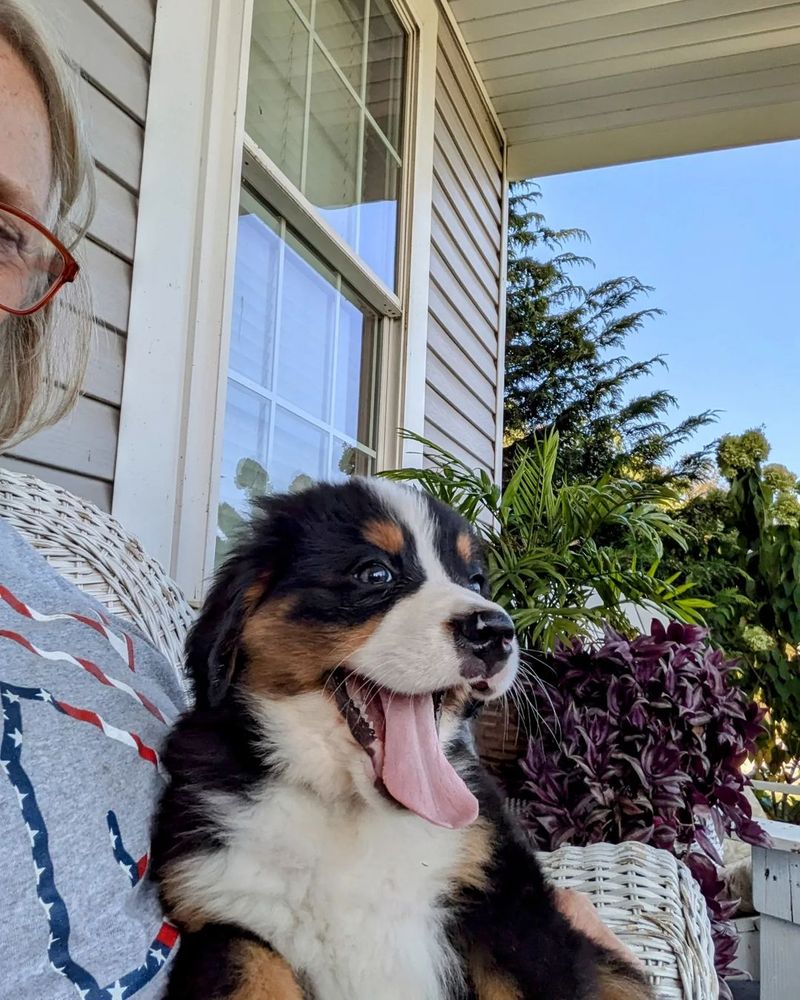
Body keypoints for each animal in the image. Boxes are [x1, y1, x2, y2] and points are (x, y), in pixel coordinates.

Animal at [152, 480, 656, 996]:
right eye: (375, 573)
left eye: (475, 581)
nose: (496, 631)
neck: (349, 811)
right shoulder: (225, 919)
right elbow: (248, 974)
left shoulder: (512, 907)